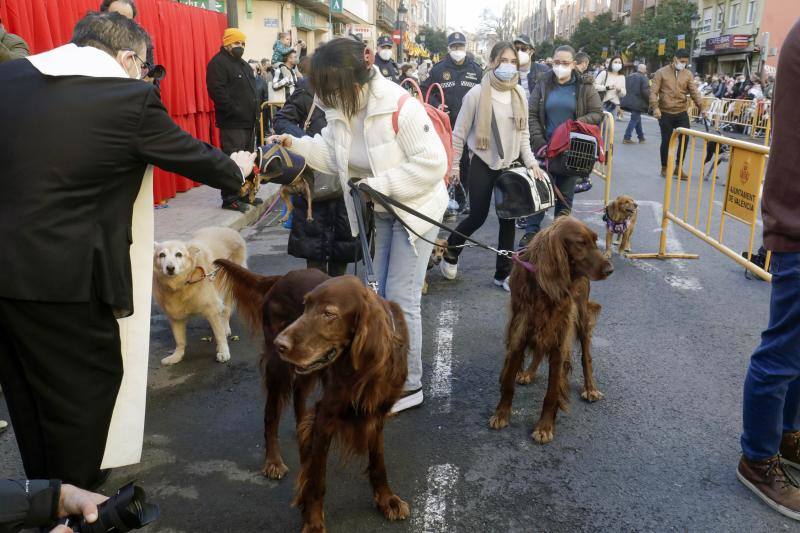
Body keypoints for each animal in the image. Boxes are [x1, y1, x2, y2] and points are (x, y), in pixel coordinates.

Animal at [153, 224, 247, 366]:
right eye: (162, 255)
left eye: (178, 254)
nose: (170, 268)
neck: (185, 281)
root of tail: (229, 230)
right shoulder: (175, 316)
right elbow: (179, 340)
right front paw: (176, 356)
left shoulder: (212, 308)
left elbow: (219, 335)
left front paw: (223, 351)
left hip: (228, 287)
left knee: (226, 311)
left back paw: (225, 327)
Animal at [276, 274, 412, 532]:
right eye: (305, 306)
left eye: (329, 314)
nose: (280, 344)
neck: (363, 371)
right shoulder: (325, 416)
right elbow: (317, 477)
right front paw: (313, 521)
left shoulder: (377, 414)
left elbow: (378, 461)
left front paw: (386, 499)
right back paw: (273, 462)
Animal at [488, 216, 612, 444]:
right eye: (581, 243)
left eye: (595, 240)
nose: (610, 270)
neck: (545, 285)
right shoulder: (520, 331)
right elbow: (508, 381)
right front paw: (501, 414)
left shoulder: (560, 334)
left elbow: (553, 391)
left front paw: (544, 427)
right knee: (538, 350)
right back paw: (529, 373)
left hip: (581, 317)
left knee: (586, 357)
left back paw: (590, 388)